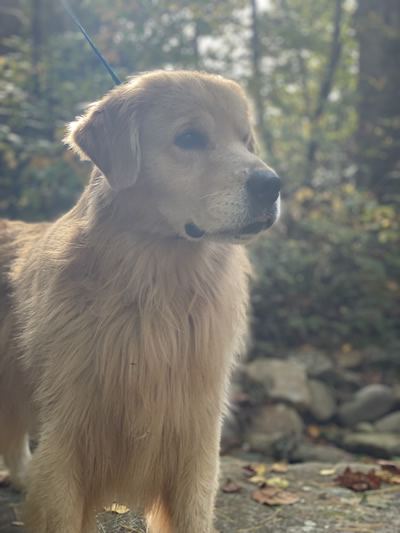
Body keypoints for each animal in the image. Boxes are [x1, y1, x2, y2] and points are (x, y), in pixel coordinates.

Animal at [0, 70, 280, 533]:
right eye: (189, 137)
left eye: (245, 140)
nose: (273, 185)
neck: (155, 292)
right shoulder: (67, 439)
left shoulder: (195, 441)